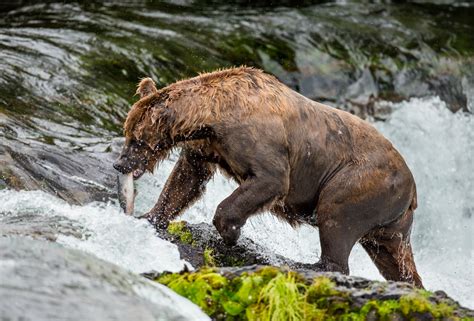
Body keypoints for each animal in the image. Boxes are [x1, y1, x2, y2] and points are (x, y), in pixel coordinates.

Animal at [114, 66, 422, 286]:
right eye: (127, 132)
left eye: (136, 140)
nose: (120, 164)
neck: (213, 118)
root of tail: (412, 189)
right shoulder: (206, 148)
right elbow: (185, 180)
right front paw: (150, 216)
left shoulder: (259, 143)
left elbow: (269, 180)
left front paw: (230, 232)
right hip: (391, 222)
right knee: (394, 258)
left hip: (359, 182)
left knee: (336, 217)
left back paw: (310, 265)